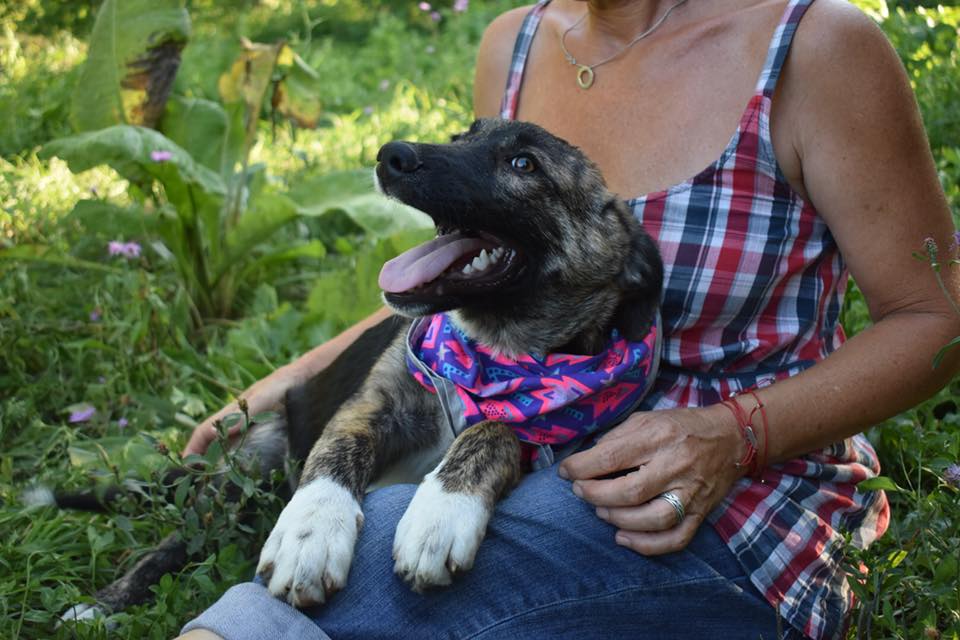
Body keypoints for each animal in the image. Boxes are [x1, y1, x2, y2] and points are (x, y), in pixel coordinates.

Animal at [47, 118, 663, 620]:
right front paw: (311, 533)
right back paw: (102, 606)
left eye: (523, 163)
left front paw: (442, 511)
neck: (489, 354)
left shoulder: (541, 436)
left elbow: (498, 429)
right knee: (170, 545)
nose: (391, 154)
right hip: (245, 474)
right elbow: (335, 453)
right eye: (462, 134)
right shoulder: (373, 403)